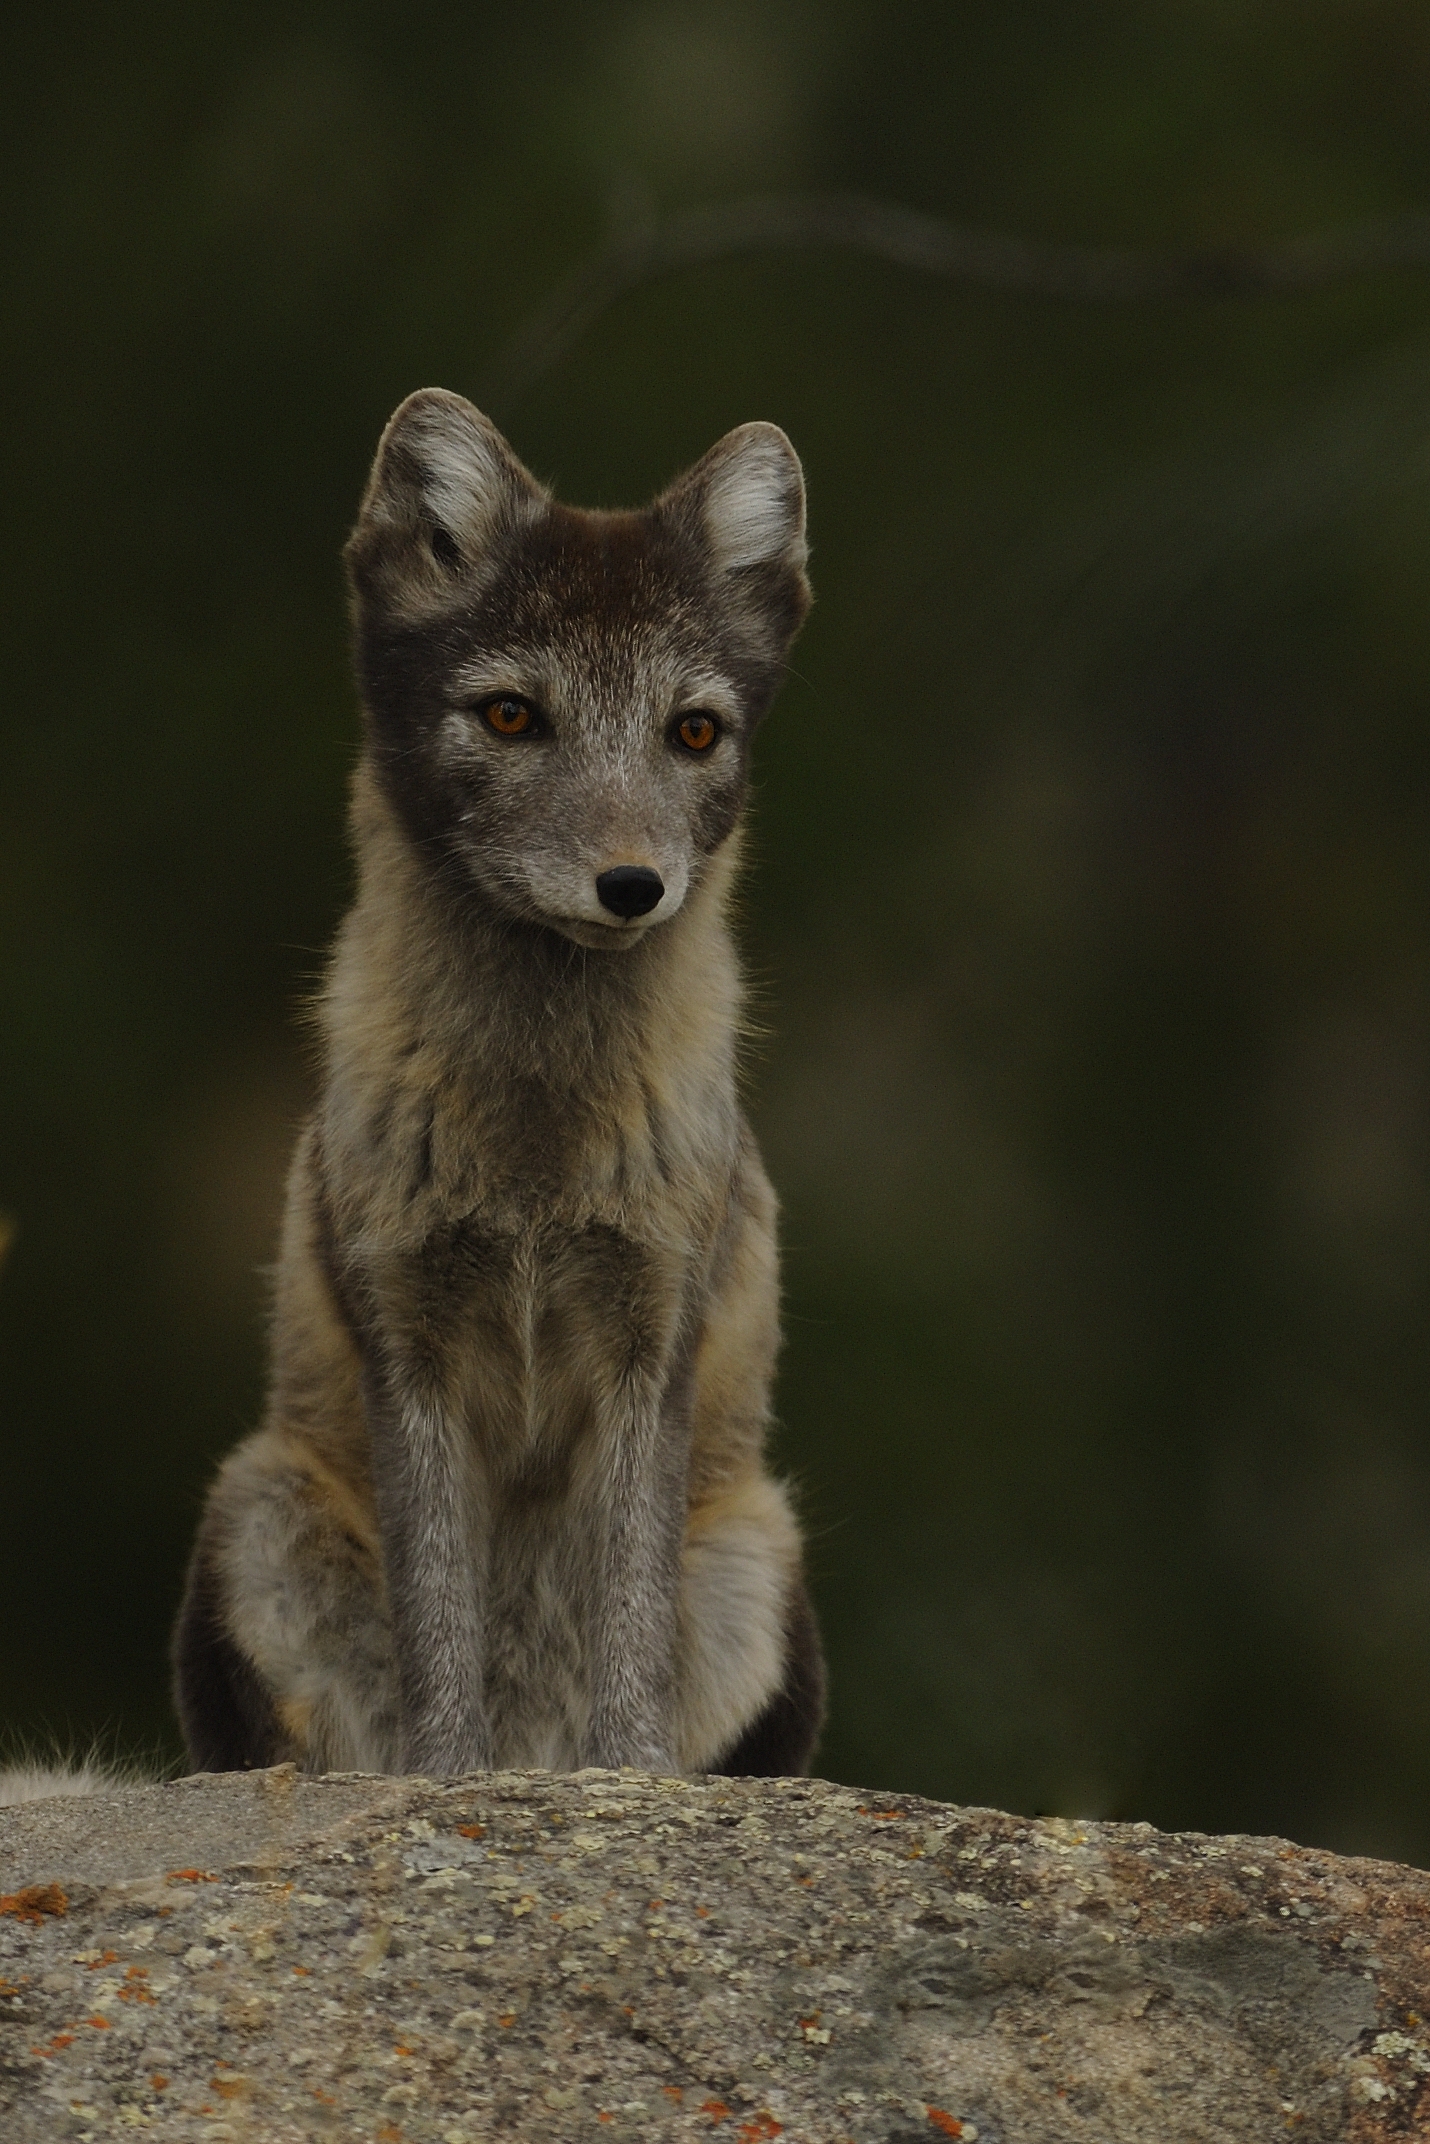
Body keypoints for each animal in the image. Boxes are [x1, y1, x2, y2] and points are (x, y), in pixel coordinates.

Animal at [161, 388, 825, 1781]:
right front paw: (450, 1787)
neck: (535, 1154)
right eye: (513, 716)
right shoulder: (402, 1333)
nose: (631, 886)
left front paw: (623, 1790)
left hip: (757, 1547)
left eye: (692, 731)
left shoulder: (652, 1334)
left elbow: (627, 1627)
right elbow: (438, 1632)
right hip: (254, 1509)